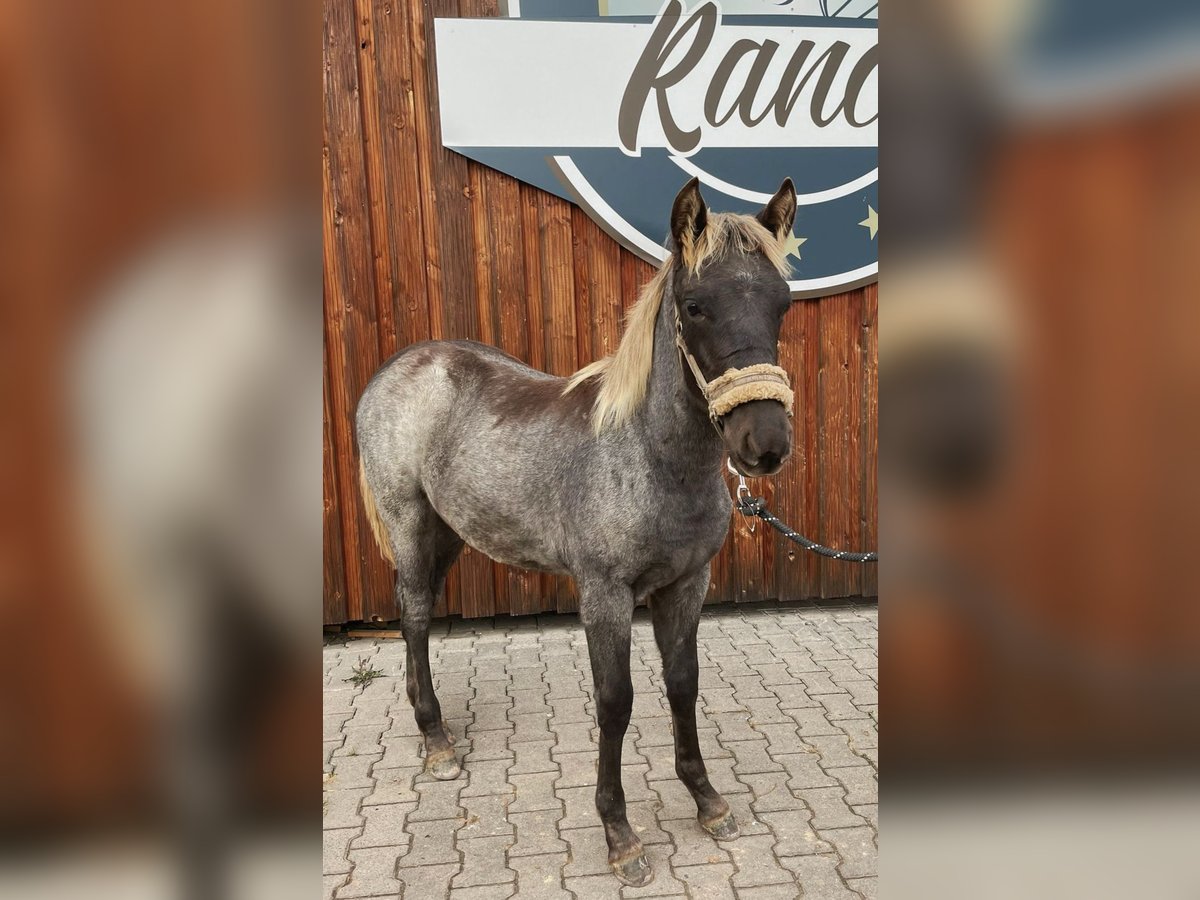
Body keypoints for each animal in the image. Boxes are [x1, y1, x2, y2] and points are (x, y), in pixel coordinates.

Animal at [356, 177, 798, 886]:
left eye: (782, 304)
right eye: (695, 305)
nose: (764, 444)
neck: (649, 456)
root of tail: (397, 366)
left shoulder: (686, 586)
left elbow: (683, 684)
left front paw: (707, 800)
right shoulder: (605, 596)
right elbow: (615, 701)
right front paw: (620, 835)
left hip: (450, 531)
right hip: (410, 521)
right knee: (416, 614)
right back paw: (437, 740)